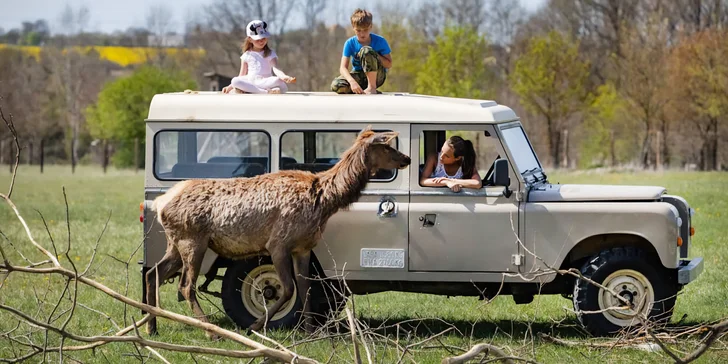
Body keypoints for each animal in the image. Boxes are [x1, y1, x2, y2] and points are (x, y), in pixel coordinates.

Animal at [146, 126, 410, 338]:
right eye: (386, 146)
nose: (406, 158)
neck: (323, 202)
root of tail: (160, 203)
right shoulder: (278, 243)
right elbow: (288, 288)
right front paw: (255, 326)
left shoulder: (303, 247)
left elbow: (305, 287)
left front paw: (310, 331)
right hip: (192, 240)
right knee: (185, 286)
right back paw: (211, 332)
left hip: (175, 243)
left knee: (152, 273)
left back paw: (151, 326)